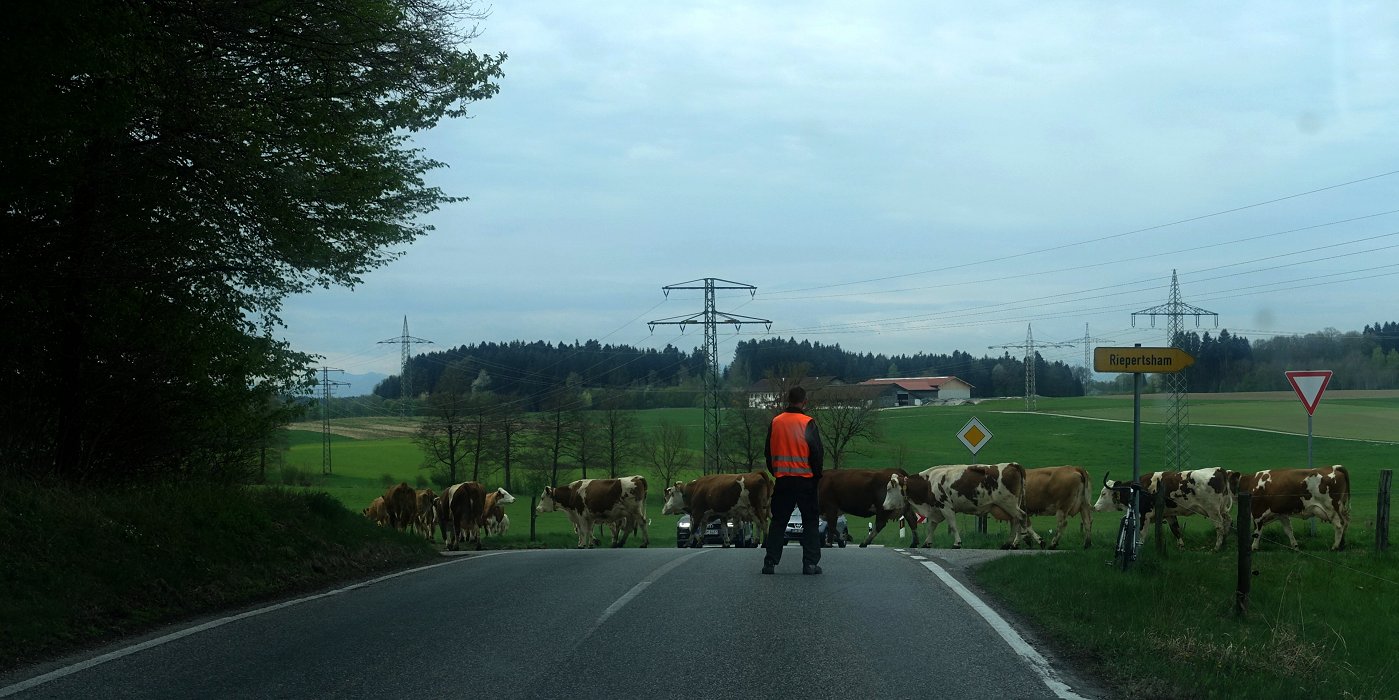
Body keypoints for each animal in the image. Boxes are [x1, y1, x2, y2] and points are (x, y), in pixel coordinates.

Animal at [878, 462, 1046, 548]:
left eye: (889, 489)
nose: (884, 506)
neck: (929, 482)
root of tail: (1011, 464)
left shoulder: (946, 507)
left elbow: (952, 525)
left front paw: (957, 543)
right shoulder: (935, 510)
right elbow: (931, 526)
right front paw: (927, 542)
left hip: (1008, 503)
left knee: (1021, 517)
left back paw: (1031, 541)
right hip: (1010, 504)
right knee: (1017, 520)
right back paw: (1012, 543)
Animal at [1091, 467, 1236, 548]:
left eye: (1103, 493)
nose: (1094, 507)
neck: (1140, 489)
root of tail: (1219, 470)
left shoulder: (1144, 515)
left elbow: (1141, 534)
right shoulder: (1170, 515)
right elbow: (1176, 530)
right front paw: (1181, 547)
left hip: (1213, 511)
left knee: (1219, 526)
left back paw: (1217, 547)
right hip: (1223, 510)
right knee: (1228, 522)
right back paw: (1224, 543)